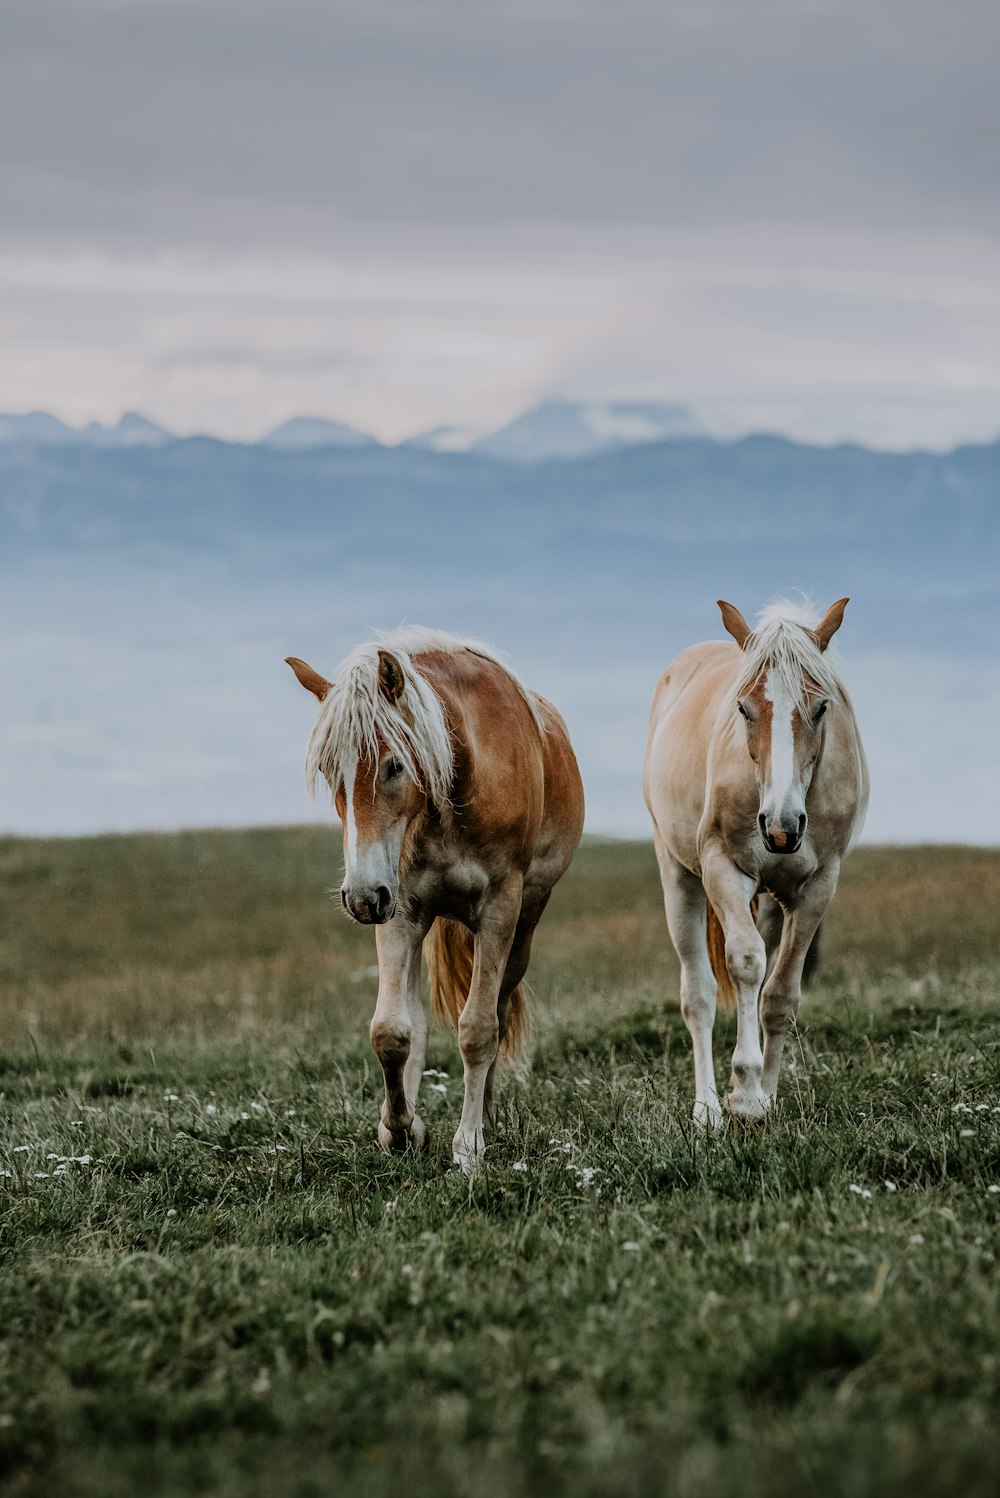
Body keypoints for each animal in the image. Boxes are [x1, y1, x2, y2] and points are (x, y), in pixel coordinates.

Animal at [284, 626, 580, 1174]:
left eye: (395, 765)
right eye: (331, 773)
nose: (359, 897)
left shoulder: (499, 909)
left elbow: (479, 1029)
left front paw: (468, 1146)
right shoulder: (399, 911)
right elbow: (393, 1032)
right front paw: (401, 1130)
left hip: (524, 924)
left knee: (498, 1011)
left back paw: (487, 1118)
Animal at [640, 596, 868, 1126]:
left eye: (821, 706)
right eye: (743, 708)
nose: (781, 827)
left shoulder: (818, 887)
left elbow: (780, 994)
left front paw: (766, 1095)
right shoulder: (725, 869)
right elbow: (746, 964)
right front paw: (743, 1094)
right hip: (679, 879)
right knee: (698, 995)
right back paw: (706, 1109)